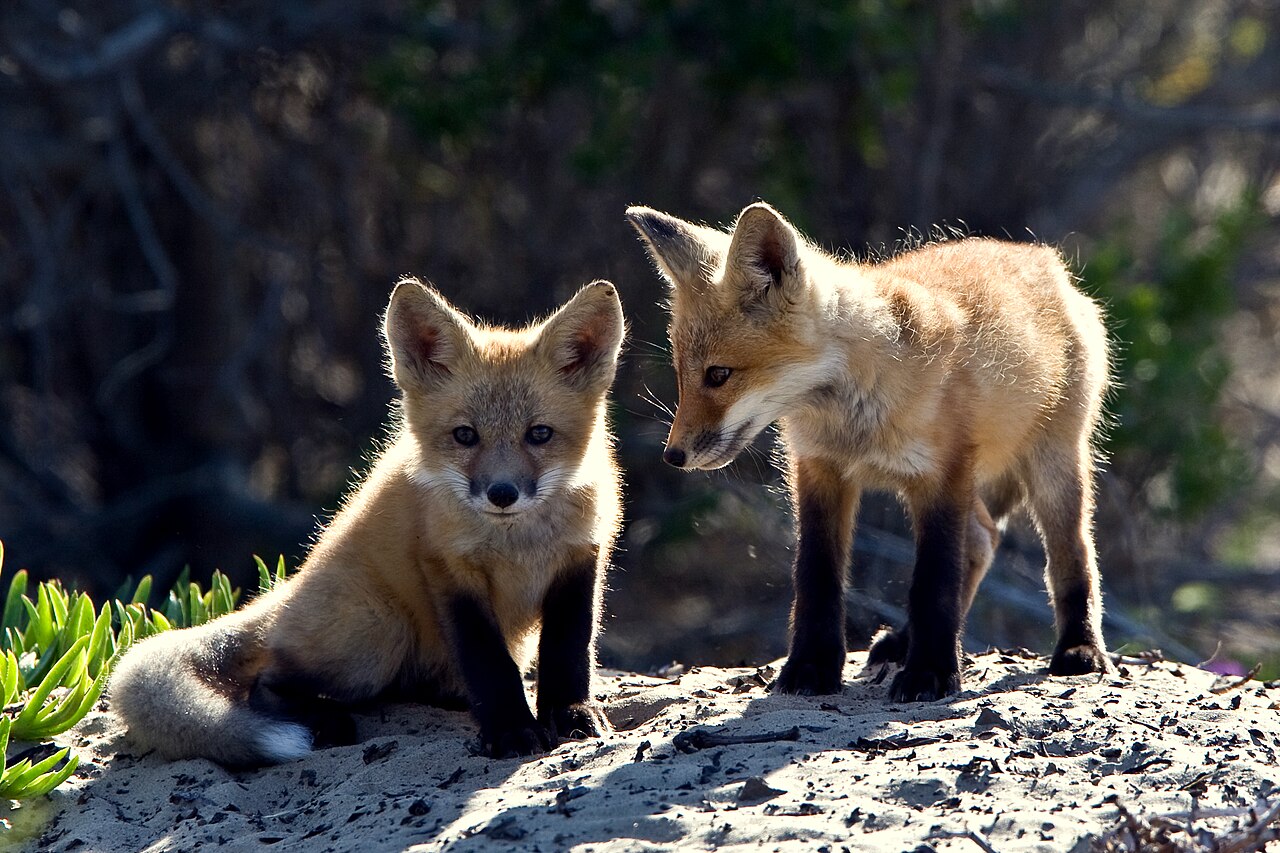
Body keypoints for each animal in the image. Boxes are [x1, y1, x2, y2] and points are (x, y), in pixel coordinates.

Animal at [108, 278, 625, 764]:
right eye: (465, 436)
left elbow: (569, 653)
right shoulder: (449, 571)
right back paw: (323, 722)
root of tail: (284, 594)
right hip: (377, 631)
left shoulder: (580, 560)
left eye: (539, 434)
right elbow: (489, 665)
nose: (502, 494)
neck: (519, 544)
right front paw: (511, 730)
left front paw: (572, 715)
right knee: (266, 681)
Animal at [627, 201, 1112, 703]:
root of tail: (1041, 257)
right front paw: (811, 666)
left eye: (719, 375)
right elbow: (817, 577)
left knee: (1071, 555)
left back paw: (1079, 648)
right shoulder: (819, 470)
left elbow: (934, 580)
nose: (673, 456)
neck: (855, 419)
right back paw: (904, 640)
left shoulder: (942, 475)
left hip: (1053, 463)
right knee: (982, 539)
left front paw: (930, 674)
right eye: (682, 376)